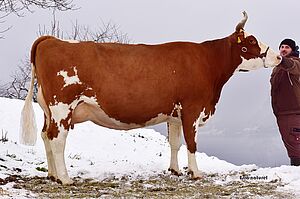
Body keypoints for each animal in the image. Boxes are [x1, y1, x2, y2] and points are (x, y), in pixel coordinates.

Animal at [19, 11, 280, 184]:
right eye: (251, 41)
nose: (278, 56)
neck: (208, 63)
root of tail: (51, 39)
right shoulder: (193, 108)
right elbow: (192, 144)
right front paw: (195, 173)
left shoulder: (174, 114)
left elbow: (174, 143)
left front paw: (175, 170)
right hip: (62, 107)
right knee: (57, 139)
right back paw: (65, 178)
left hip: (48, 109)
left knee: (46, 136)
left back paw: (52, 174)